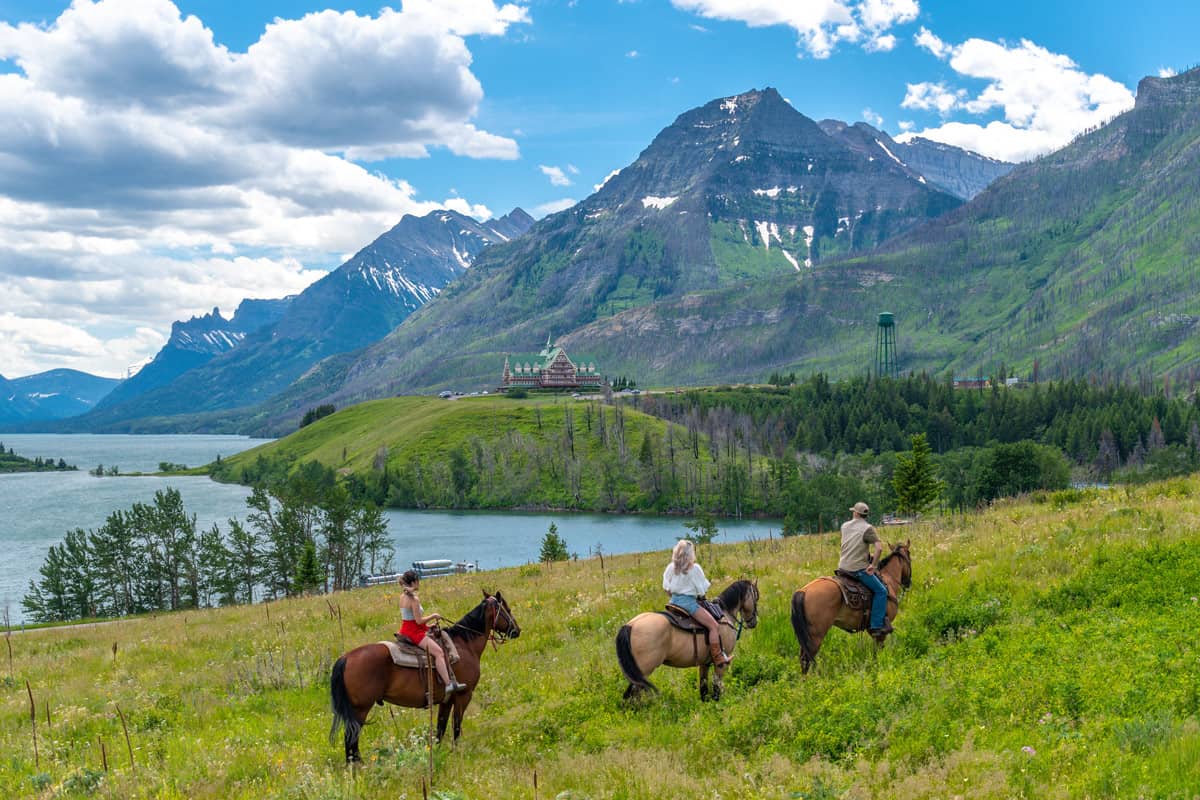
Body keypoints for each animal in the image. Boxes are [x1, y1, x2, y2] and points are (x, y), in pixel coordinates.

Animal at [328, 592, 520, 762]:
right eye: (507, 609)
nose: (517, 631)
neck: (465, 645)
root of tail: (346, 657)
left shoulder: (446, 700)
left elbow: (440, 727)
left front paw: (438, 752)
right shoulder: (463, 696)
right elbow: (456, 726)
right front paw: (457, 752)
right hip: (360, 709)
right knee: (351, 740)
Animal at [619, 582, 758, 700]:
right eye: (756, 597)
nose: (753, 622)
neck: (724, 613)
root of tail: (630, 625)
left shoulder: (704, 663)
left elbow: (703, 687)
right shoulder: (721, 662)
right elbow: (716, 686)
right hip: (644, 671)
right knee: (633, 694)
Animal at [792, 537, 912, 676]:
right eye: (909, 555)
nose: (908, 583)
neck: (888, 580)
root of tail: (803, 591)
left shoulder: (871, 629)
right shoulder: (881, 630)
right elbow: (879, 649)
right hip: (816, 636)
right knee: (806, 659)